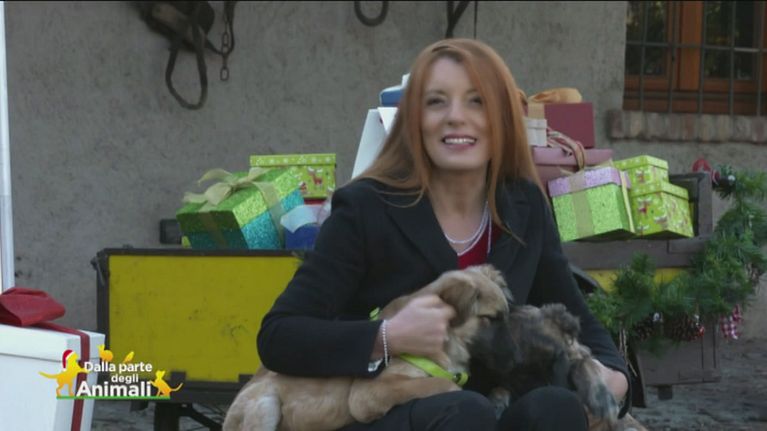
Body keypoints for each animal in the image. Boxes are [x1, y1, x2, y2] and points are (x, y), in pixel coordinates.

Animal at [469, 302, 621, 430]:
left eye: (557, 361)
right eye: (519, 377)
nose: (545, 386)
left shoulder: (577, 356)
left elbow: (586, 364)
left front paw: (602, 398)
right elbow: (501, 387)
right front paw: (497, 401)